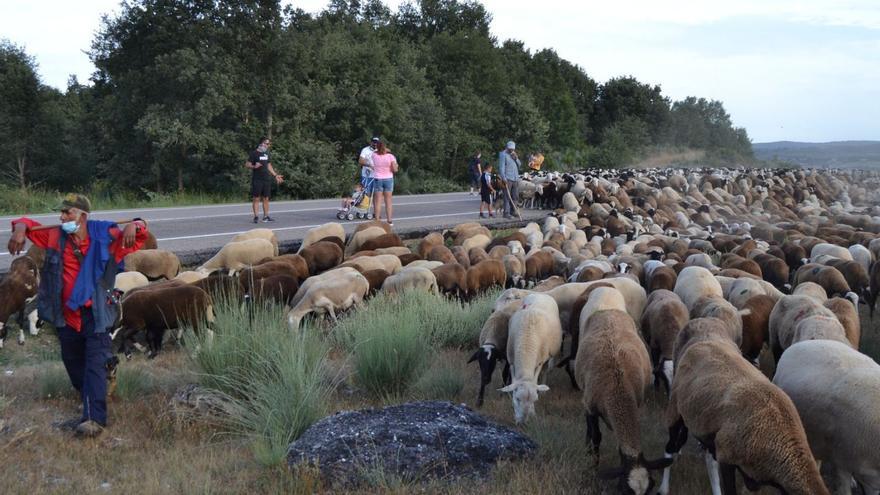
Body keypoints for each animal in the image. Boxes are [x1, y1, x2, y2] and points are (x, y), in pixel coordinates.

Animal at [498, 292, 560, 424]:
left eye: (534, 401)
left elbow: (535, 378)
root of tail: (540, 294)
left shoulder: (540, 361)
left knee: (545, 371)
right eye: (517, 399)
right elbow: (513, 378)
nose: (523, 423)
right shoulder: (511, 360)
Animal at [576, 310, 672, 492]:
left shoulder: (636, 404)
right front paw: (592, 468)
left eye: (651, 487)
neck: (617, 389)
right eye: (623, 490)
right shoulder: (591, 407)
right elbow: (596, 436)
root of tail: (608, 311)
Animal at [664, 324, 828, 495]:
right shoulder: (726, 456)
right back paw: (663, 488)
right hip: (675, 409)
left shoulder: (752, 476)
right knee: (670, 448)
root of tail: (701, 342)